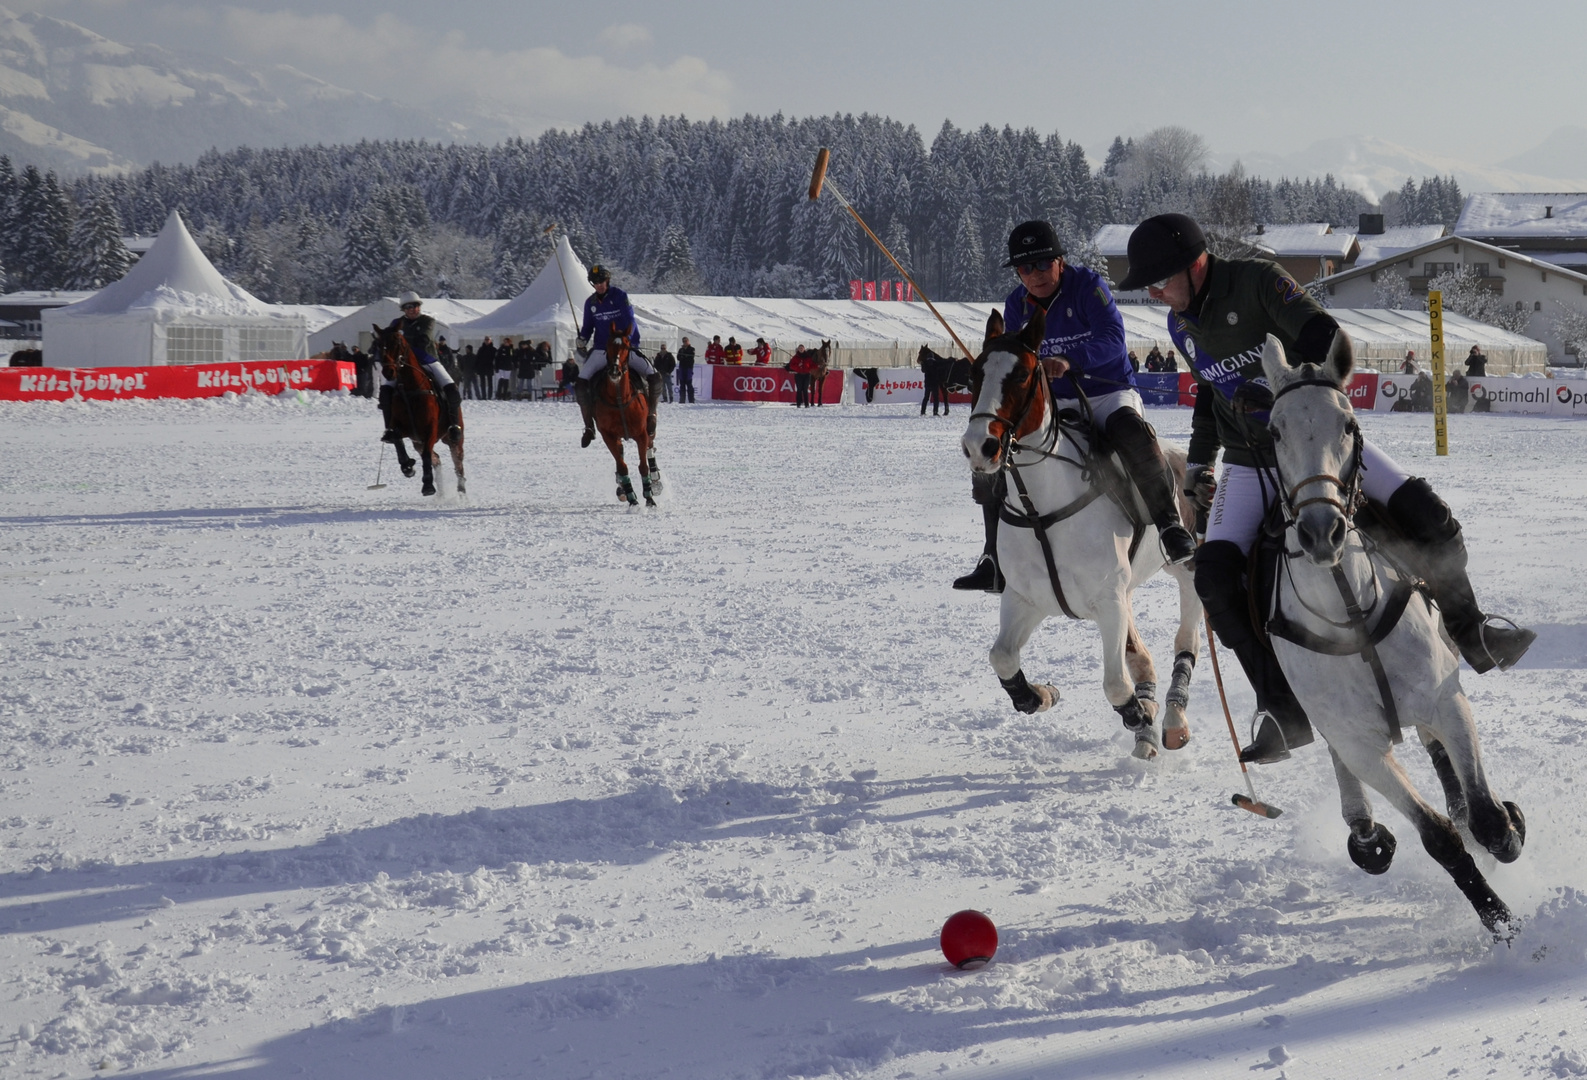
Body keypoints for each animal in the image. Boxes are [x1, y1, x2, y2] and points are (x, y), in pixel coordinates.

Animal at [371, 320, 463, 497]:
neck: (409, 389)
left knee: (458, 463)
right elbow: (396, 439)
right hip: (417, 442)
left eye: (397, 342)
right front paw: (407, 466)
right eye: (379, 344)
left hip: (453, 438)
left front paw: (427, 485)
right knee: (437, 459)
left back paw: (461, 492)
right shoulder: (402, 429)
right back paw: (441, 493)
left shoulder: (430, 429)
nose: (388, 371)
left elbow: (427, 455)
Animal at [596, 325, 657, 504]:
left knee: (651, 446)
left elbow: (643, 466)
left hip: (650, 427)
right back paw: (622, 488)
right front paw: (632, 499)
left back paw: (656, 481)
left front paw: (649, 498)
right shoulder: (608, 435)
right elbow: (622, 466)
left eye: (626, 346)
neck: (619, 399)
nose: (614, 371)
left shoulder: (641, 433)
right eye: (608, 345)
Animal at [952, 306, 1199, 758]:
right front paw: (1041, 694)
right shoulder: (1025, 597)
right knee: (1143, 655)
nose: (980, 447)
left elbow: (1115, 683)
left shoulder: (1109, 600)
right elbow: (1002, 657)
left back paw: (1172, 719)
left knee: (1186, 638)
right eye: (976, 372)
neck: (1041, 511)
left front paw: (1139, 713)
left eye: (1023, 374)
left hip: (1188, 571)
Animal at [1256, 331, 1517, 932]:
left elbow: (1488, 819)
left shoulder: (1445, 696)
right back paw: (1365, 833)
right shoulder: (1361, 745)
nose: (1321, 532)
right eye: (1274, 431)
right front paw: (1502, 923)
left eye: (1349, 424)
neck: (1349, 608)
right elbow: (1439, 837)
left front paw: (1509, 827)